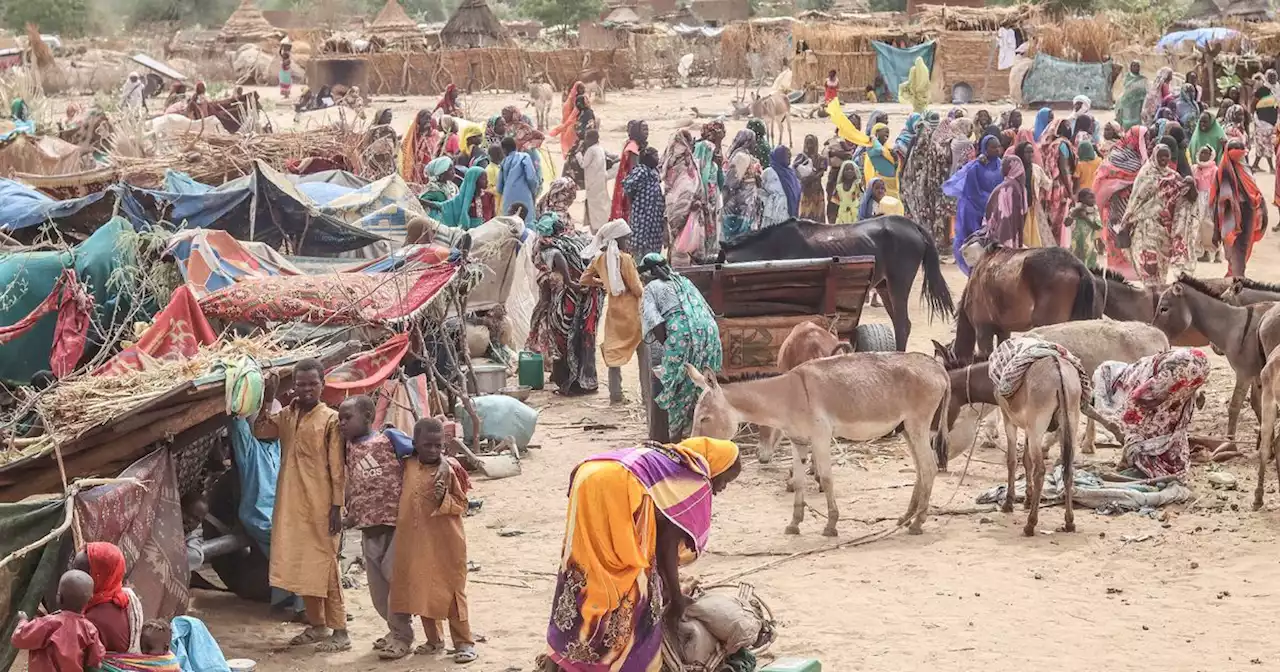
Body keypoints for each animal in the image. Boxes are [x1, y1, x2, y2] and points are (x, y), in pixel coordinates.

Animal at [716, 216, 957, 353]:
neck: (773, 250)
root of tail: (913, 225)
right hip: (883, 286)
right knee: (902, 324)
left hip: (899, 283)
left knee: (902, 324)